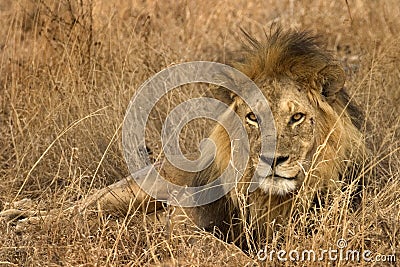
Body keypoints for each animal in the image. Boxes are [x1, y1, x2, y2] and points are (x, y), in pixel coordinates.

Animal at [0, 28, 368, 249]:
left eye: (297, 118)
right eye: (252, 117)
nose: (272, 160)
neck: (272, 199)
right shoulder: (186, 219)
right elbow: (215, 244)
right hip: (130, 191)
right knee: (71, 210)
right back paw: (21, 221)